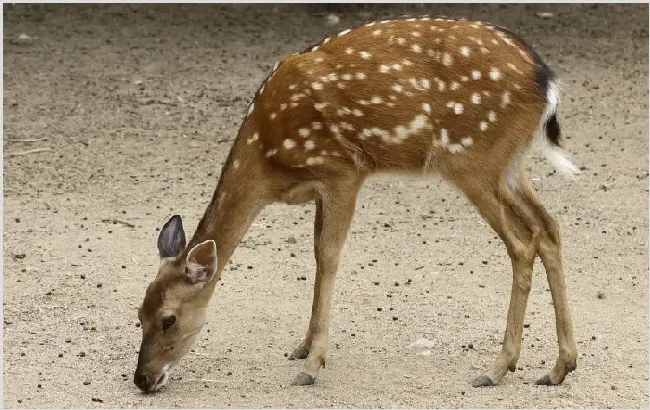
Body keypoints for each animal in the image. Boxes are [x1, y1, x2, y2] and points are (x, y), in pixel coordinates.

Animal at [132, 16, 576, 394]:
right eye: (138, 312)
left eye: (168, 318)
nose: (142, 379)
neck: (268, 157)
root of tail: (546, 79)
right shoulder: (317, 188)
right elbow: (315, 254)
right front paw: (302, 346)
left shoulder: (342, 171)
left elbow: (329, 255)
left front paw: (312, 366)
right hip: (510, 166)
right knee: (549, 228)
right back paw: (559, 367)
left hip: (474, 160)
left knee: (522, 243)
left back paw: (496, 368)